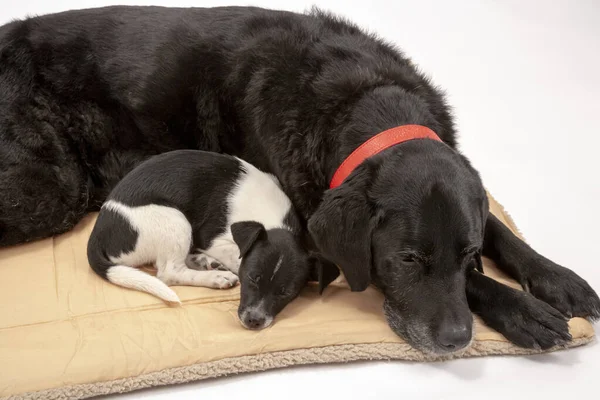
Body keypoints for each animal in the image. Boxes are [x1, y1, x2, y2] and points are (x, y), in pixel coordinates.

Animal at [88, 148, 338, 330]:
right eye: (252, 278)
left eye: (285, 292)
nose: (254, 321)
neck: (271, 220)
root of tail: (98, 235)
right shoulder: (213, 239)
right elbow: (235, 256)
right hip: (175, 220)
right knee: (169, 272)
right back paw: (215, 276)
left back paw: (206, 263)